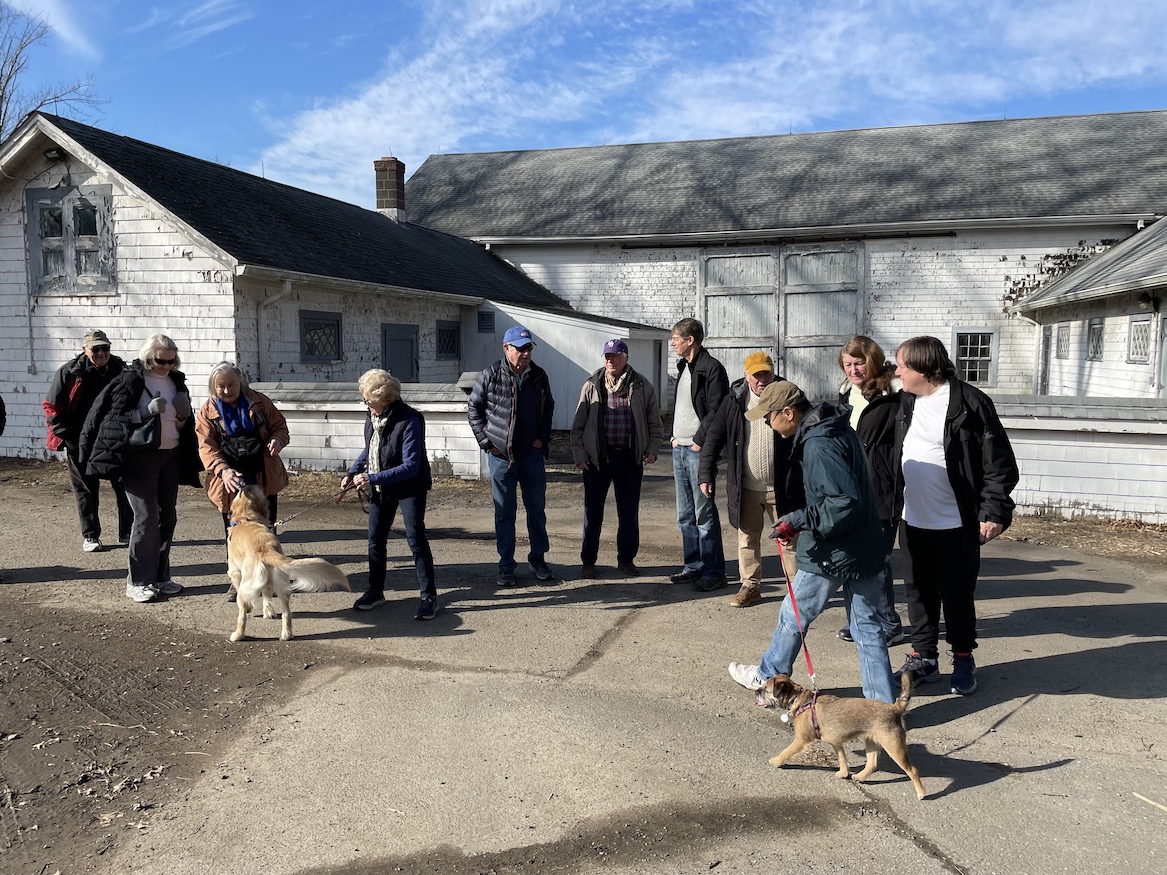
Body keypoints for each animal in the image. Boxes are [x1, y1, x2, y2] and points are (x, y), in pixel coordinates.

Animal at [225, 487, 347, 644]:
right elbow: (266, 596)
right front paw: (268, 612)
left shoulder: (234, 571)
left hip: (246, 586)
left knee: (242, 612)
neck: (246, 518)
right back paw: (286, 634)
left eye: (239, 493)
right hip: (282, 585)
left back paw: (237, 635)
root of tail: (265, 548)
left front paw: (253, 610)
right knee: (286, 612)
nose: (244, 486)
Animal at [756, 672, 928, 802]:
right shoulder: (836, 743)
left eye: (766, 690)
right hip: (871, 741)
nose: (756, 691)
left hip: (893, 746)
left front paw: (776, 761)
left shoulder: (801, 740)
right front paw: (844, 773)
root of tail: (895, 708)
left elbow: (786, 751)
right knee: (872, 764)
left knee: (912, 770)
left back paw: (921, 793)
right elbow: (842, 758)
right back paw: (860, 776)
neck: (798, 700)